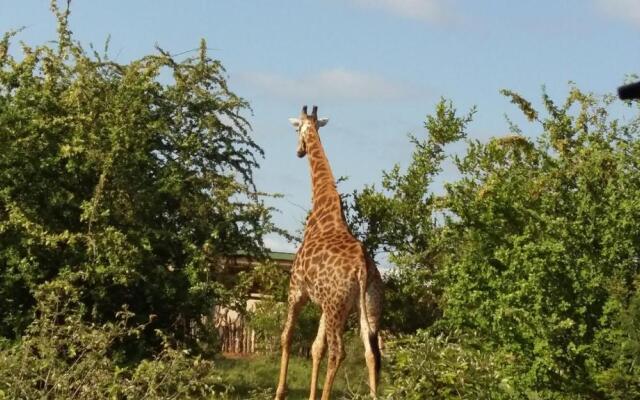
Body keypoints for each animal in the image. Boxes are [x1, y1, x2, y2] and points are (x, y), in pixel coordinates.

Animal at [274, 104, 382, 398]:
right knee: (371, 354)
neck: (325, 212)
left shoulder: (297, 289)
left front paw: (279, 392)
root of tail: (361, 268)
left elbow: (287, 337)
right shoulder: (323, 303)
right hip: (365, 309)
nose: (299, 151)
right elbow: (315, 348)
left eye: (297, 129)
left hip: (337, 308)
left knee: (339, 352)